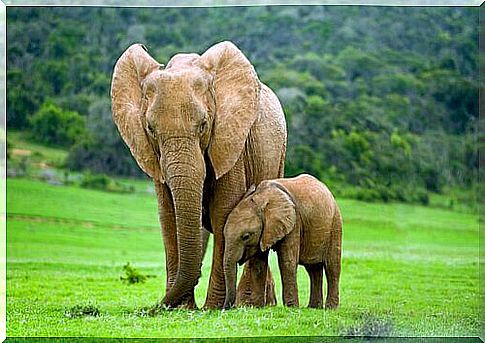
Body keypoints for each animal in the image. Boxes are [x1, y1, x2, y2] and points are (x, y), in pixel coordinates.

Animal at [111, 40, 286, 310]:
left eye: (204, 125)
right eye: (150, 129)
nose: (154, 308)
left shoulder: (230, 143)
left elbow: (224, 212)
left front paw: (213, 308)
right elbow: (168, 215)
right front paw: (182, 308)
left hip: (278, 156)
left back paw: (252, 304)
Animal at [222, 173, 340, 310]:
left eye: (246, 236)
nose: (226, 309)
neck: (261, 198)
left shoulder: (294, 222)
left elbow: (287, 261)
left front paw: (292, 307)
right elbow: (258, 263)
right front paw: (257, 307)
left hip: (335, 223)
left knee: (332, 266)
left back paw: (331, 308)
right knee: (313, 269)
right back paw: (313, 307)